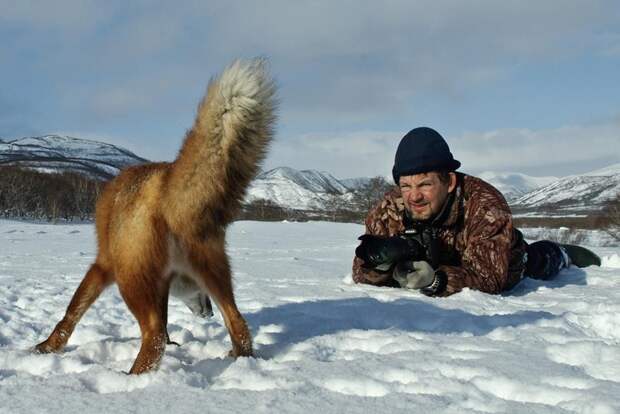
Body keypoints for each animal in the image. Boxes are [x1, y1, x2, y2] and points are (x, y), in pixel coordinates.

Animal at [34, 59, 276, 376]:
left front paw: (47, 347)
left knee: (154, 335)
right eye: (202, 296)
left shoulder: (103, 265)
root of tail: (166, 177)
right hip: (214, 270)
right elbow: (165, 318)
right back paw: (240, 360)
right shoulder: (161, 281)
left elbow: (71, 312)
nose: (208, 312)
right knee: (237, 323)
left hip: (130, 279)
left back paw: (132, 378)